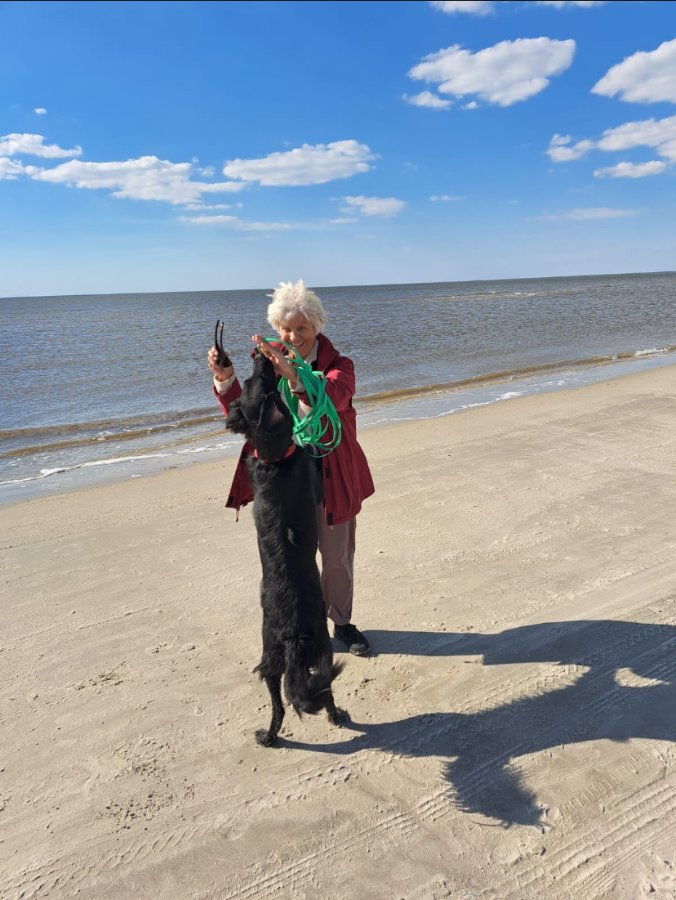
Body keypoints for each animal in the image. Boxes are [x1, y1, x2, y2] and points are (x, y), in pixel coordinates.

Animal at [225, 351, 345, 746]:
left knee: (281, 704)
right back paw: (332, 717)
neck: (274, 458)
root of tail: (293, 636)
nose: (260, 356)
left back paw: (270, 736)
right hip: (318, 649)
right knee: (320, 691)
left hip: (273, 662)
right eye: (254, 383)